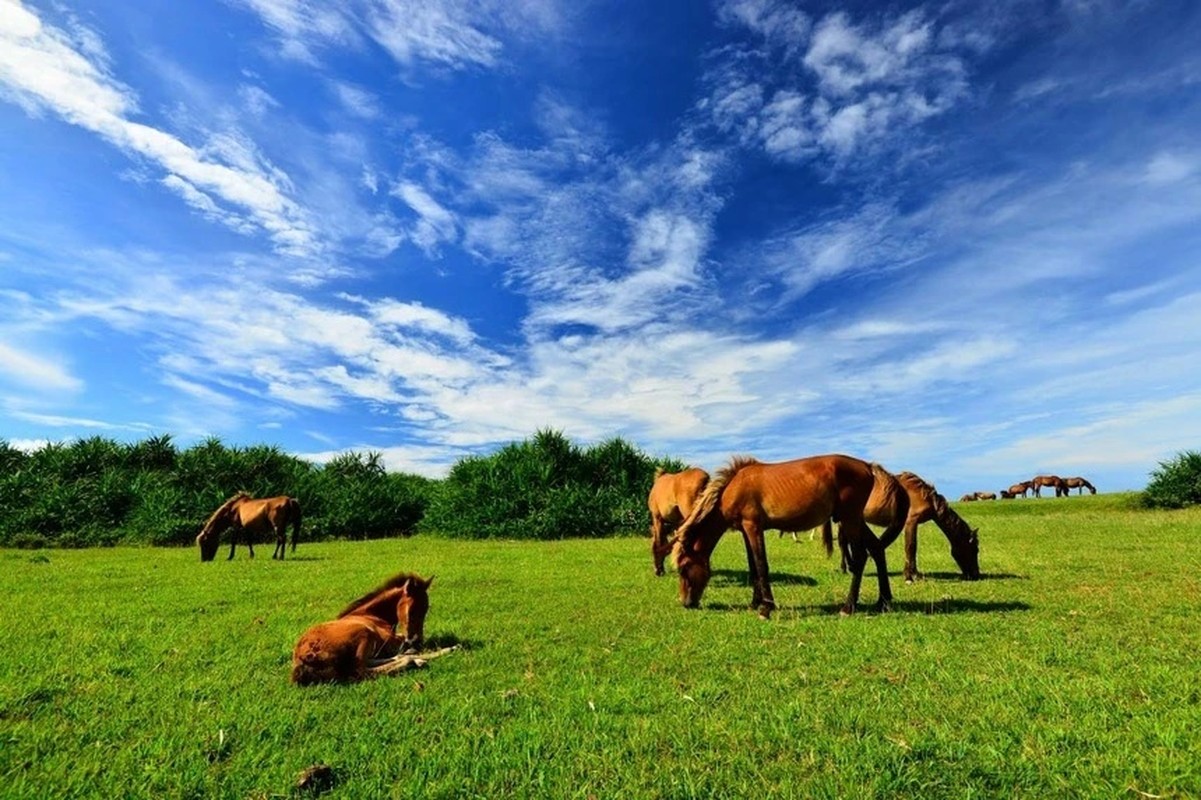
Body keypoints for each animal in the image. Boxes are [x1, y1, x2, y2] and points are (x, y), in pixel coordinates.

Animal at [290, 569, 446, 682]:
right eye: (412, 610)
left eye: (426, 609)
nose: (417, 640)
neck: (369, 614)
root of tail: (303, 659)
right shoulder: (390, 640)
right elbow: (402, 643)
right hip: (364, 634)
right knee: (361, 670)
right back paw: (412, 661)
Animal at [672, 454, 898, 615]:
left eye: (684, 568)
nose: (686, 603)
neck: (733, 488)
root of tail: (867, 465)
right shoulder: (746, 530)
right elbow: (753, 567)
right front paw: (755, 603)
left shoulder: (753, 527)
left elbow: (761, 565)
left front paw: (766, 607)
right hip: (855, 520)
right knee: (877, 548)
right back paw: (883, 601)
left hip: (850, 520)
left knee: (860, 557)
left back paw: (848, 606)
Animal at [831, 470, 980, 583]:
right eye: (975, 550)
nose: (976, 575)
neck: (925, 496)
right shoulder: (911, 521)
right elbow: (911, 546)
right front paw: (910, 576)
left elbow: (911, 548)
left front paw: (913, 574)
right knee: (843, 543)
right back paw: (846, 568)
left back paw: (850, 566)